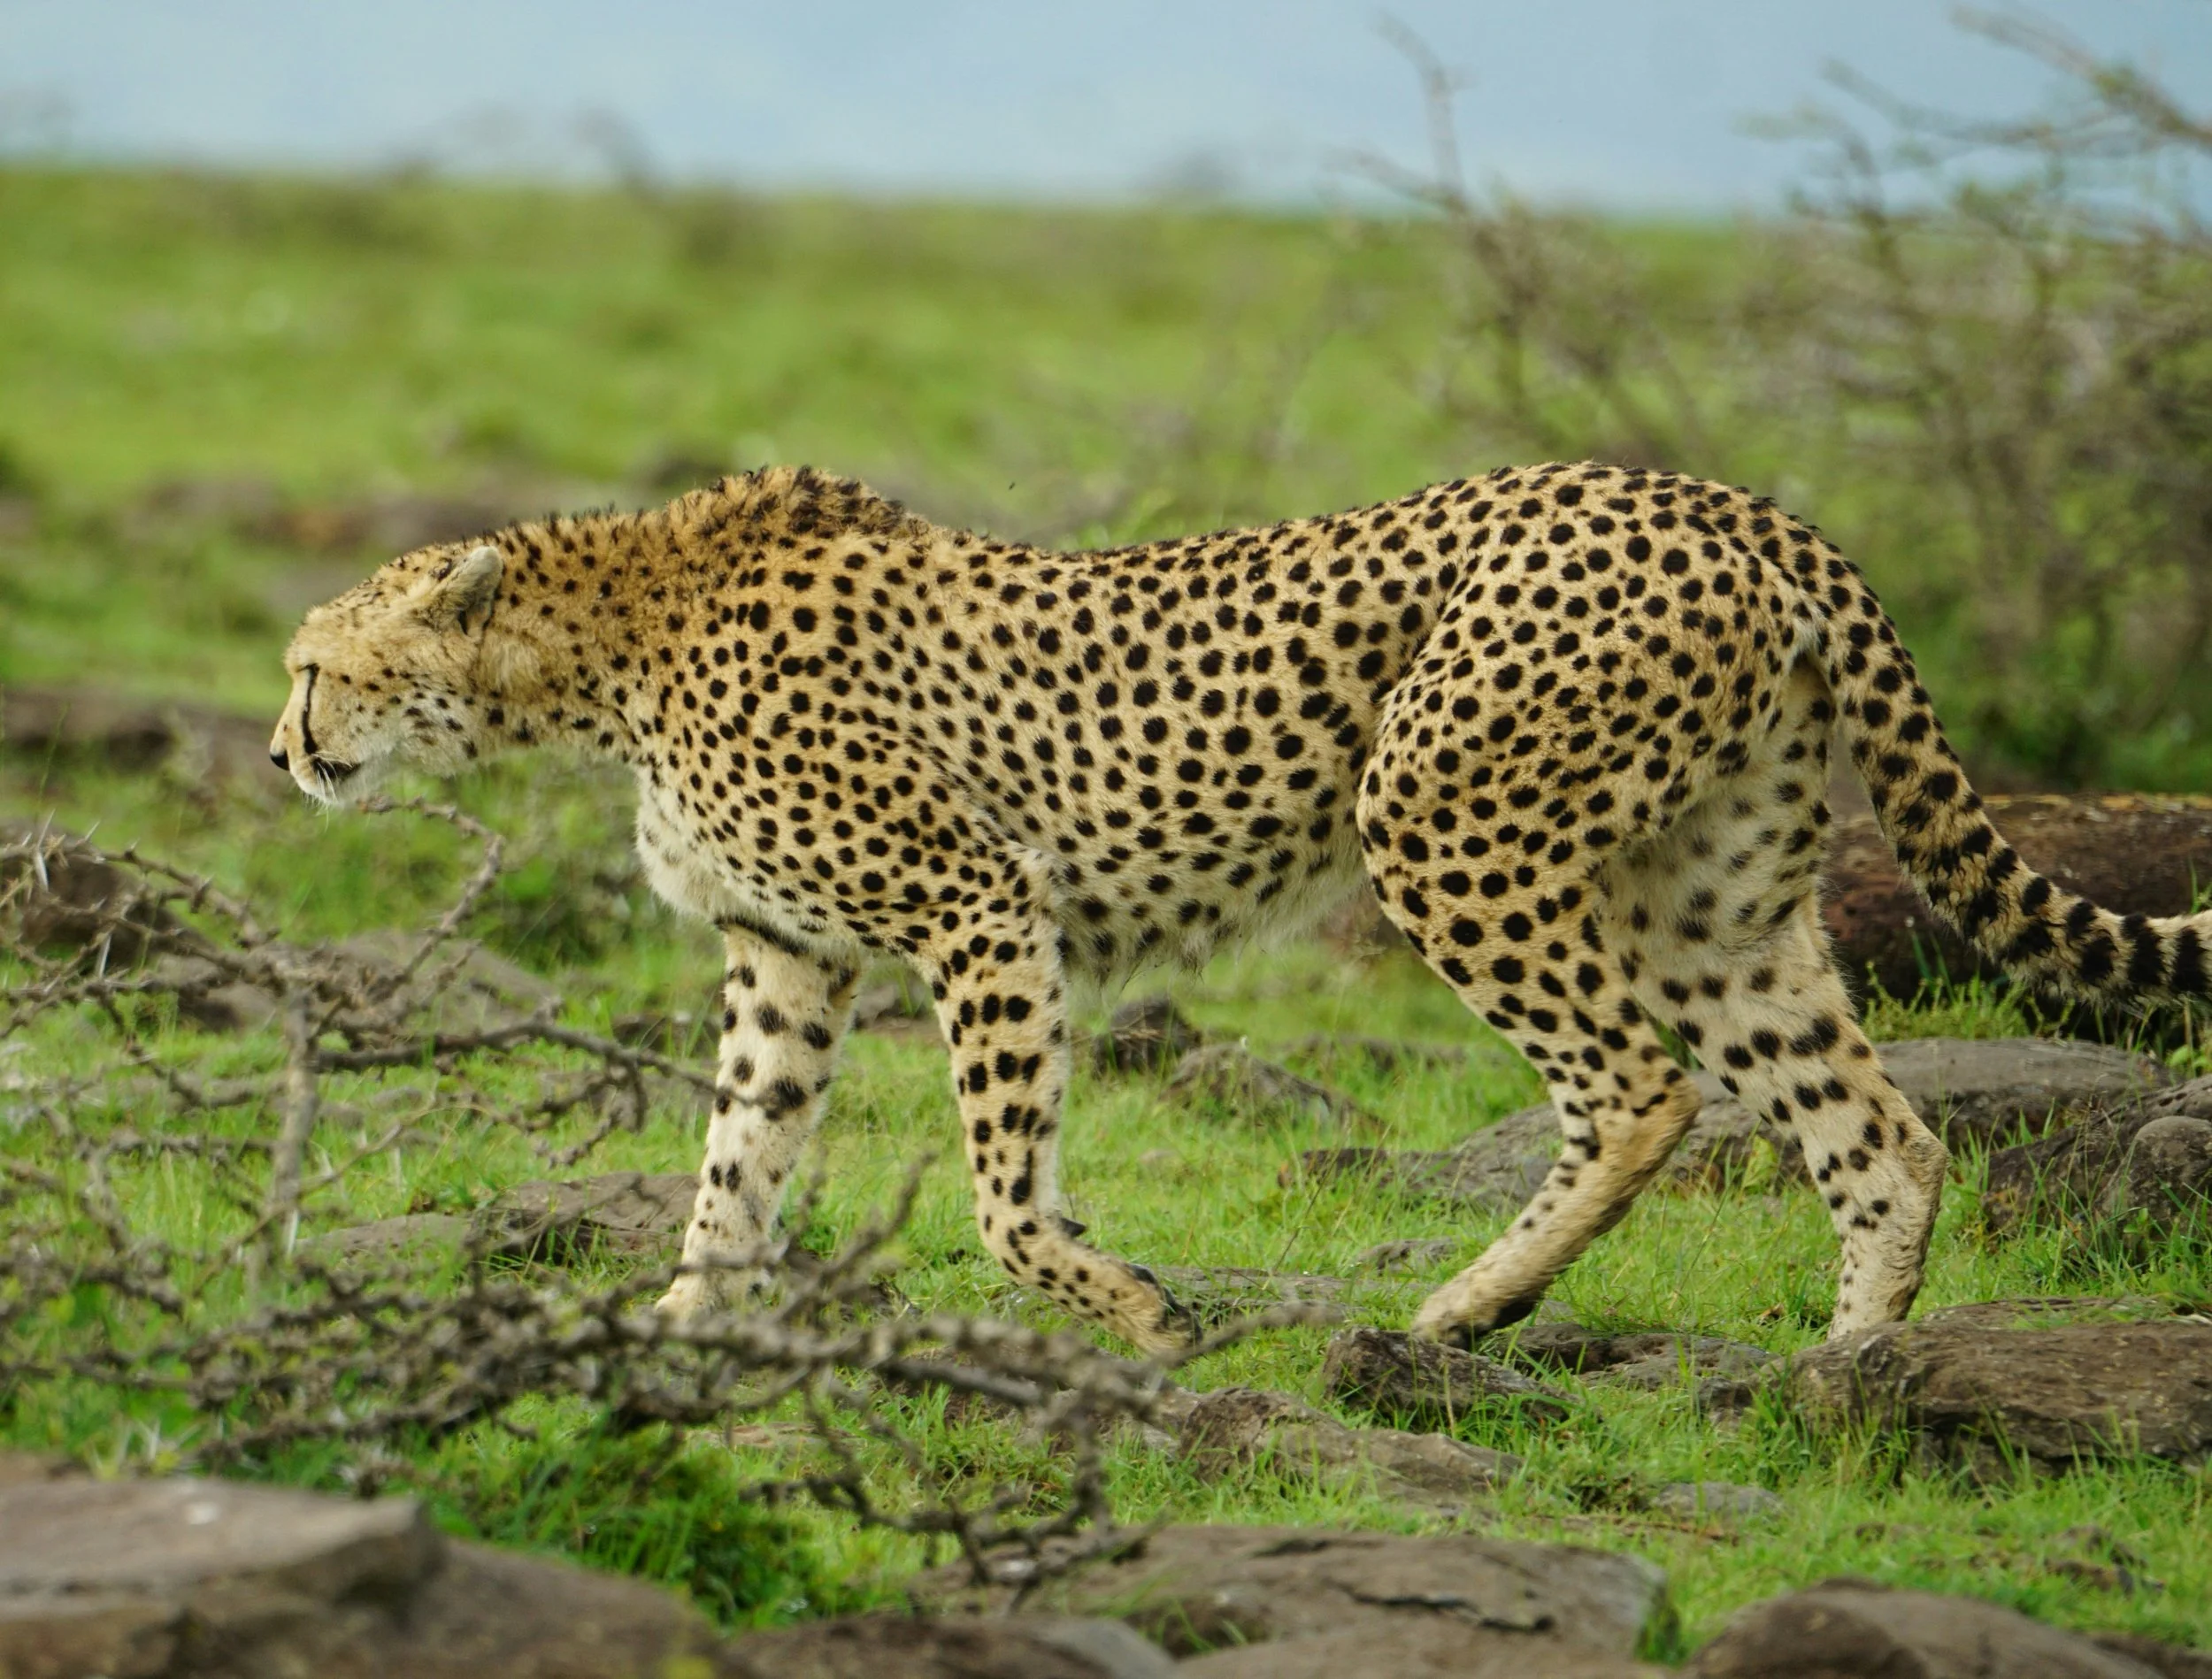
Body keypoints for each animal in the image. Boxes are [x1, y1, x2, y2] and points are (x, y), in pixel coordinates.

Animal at [271, 461, 2211, 1355]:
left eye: (314, 665)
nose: (286, 743)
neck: (605, 645)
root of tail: (1726, 498)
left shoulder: (981, 906)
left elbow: (1001, 1192)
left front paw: (1128, 1309)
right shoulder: (789, 957)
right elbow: (731, 1166)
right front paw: (679, 1333)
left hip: (1440, 821)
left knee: (1639, 1085)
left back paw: (1461, 1310)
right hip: (1708, 898)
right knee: (1876, 1129)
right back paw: (1849, 1373)